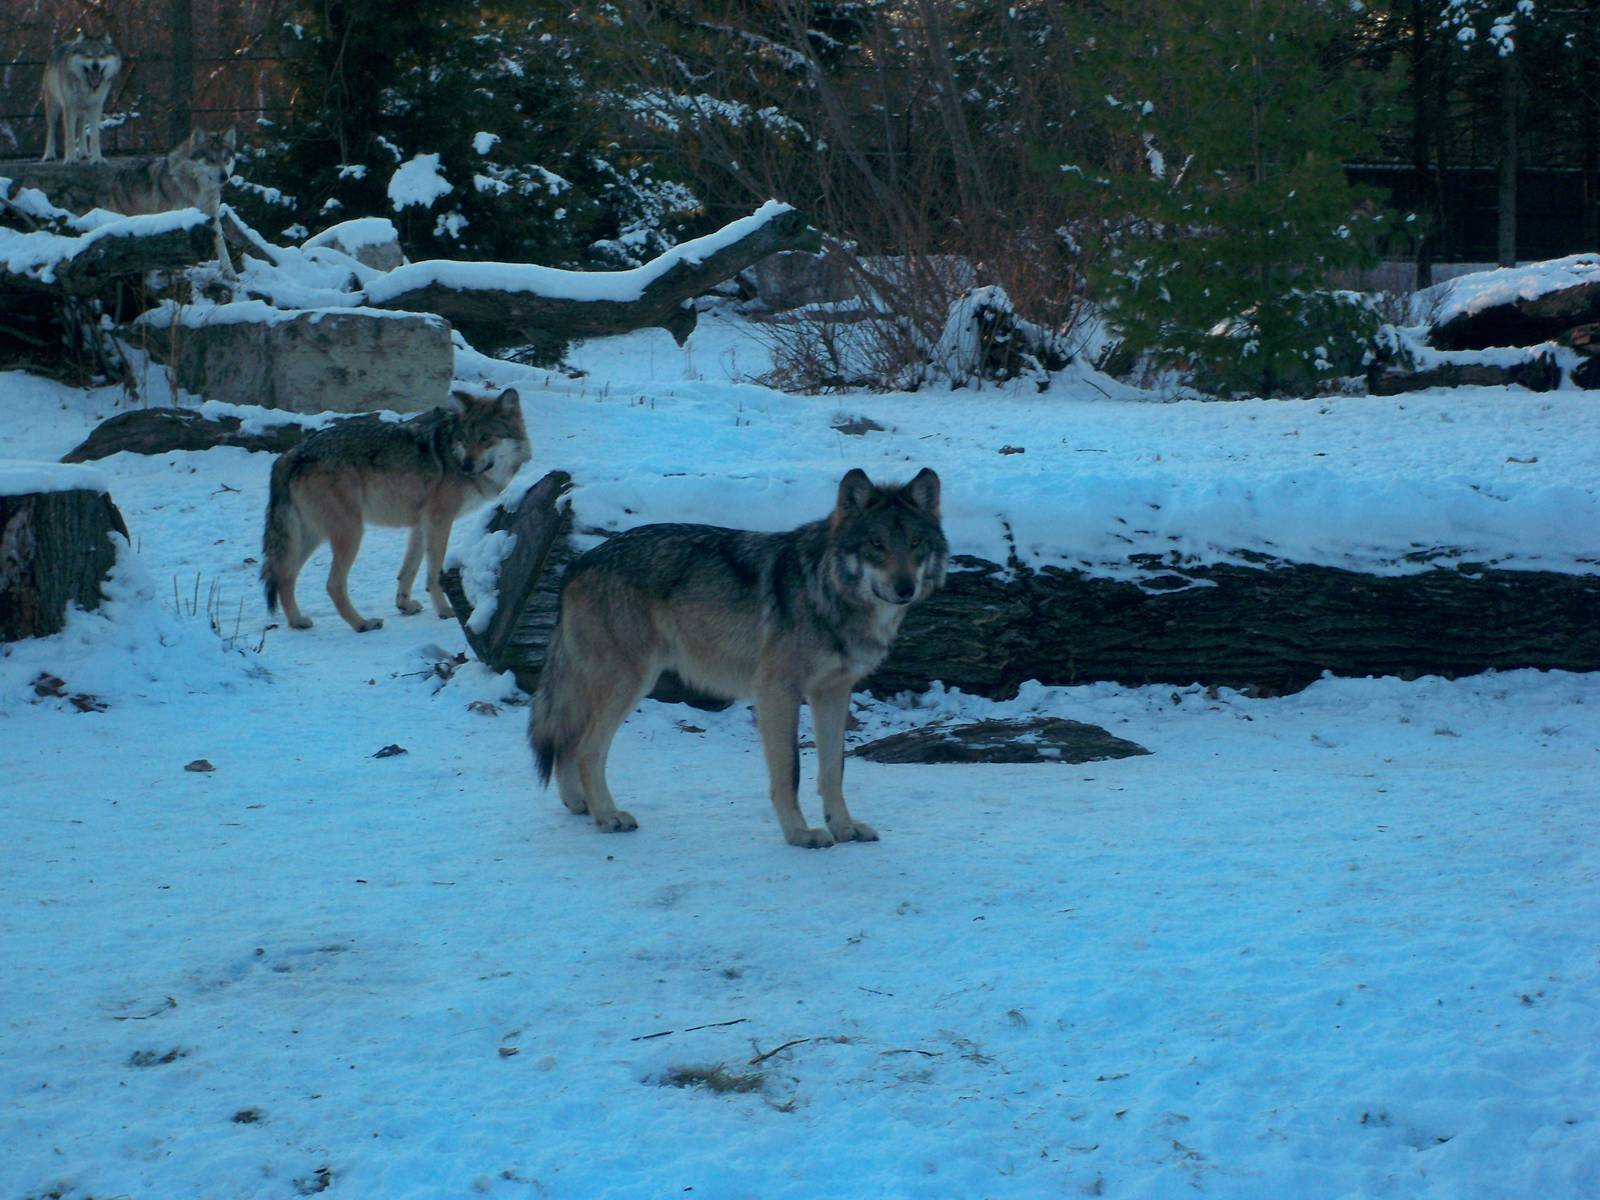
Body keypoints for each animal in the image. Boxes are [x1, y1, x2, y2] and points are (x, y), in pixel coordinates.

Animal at [40, 34, 121, 163]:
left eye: (101, 55)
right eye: (88, 55)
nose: (95, 65)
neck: (88, 88)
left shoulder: (96, 107)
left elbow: (94, 137)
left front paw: (97, 159)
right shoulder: (70, 108)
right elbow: (70, 137)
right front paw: (70, 160)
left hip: (83, 112)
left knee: (81, 129)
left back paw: (84, 154)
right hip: (53, 108)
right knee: (51, 130)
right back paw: (49, 155)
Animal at [261, 389, 531, 633]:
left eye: (485, 438)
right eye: (465, 439)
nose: (465, 465)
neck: (451, 453)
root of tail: (293, 453)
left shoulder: (421, 524)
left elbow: (408, 571)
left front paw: (404, 605)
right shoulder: (439, 520)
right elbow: (433, 574)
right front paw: (445, 611)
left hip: (310, 537)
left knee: (285, 575)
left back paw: (298, 622)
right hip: (350, 533)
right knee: (332, 585)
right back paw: (362, 624)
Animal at [529, 467, 946, 848]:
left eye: (915, 543)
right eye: (876, 544)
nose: (905, 588)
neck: (824, 591)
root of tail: (577, 564)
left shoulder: (833, 694)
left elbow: (833, 771)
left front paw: (843, 828)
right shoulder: (777, 692)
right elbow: (790, 772)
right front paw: (800, 834)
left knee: (568, 743)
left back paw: (582, 805)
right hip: (630, 683)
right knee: (587, 749)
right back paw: (608, 816)